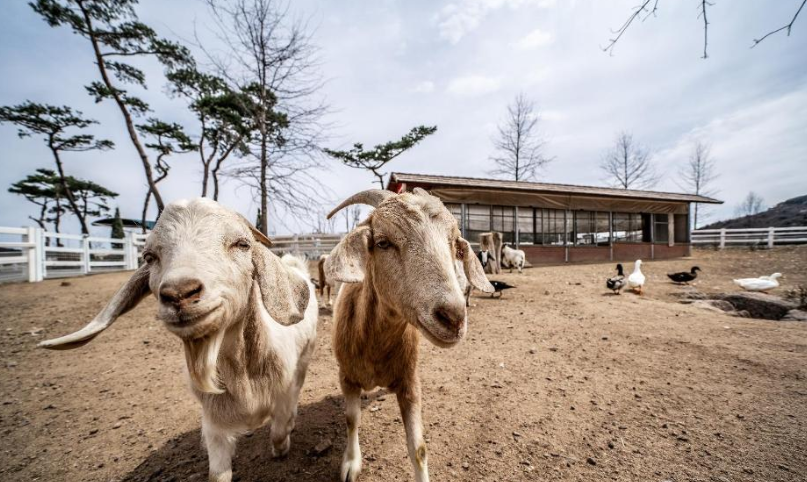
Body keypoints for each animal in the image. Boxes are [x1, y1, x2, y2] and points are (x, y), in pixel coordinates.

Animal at [39, 198, 318, 480]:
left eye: (242, 244)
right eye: (149, 257)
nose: (179, 293)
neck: (243, 377)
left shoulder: (283, 395)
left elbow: (280, 430)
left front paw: (281, 446)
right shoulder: (214, 425)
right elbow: (218, 472)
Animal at [324, 188, 492, 482]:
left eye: (455, 245)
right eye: (383, 242)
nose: (453, 317)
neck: (375, 348)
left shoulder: (410, 382)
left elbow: (419, 448)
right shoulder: (346, 377)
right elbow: (351, 420)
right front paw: (351, 463)